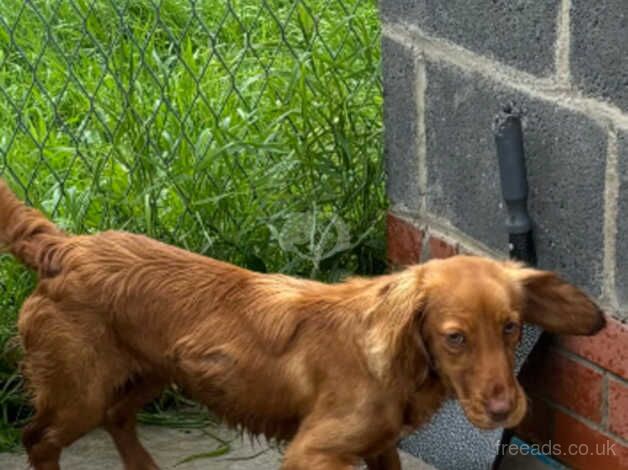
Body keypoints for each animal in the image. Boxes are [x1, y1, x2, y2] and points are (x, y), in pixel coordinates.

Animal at [0, 182, 604, 470]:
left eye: (511, 328)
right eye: (454, 338)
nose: (506, 411)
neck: (394, 364)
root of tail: (64, 248)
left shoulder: (381, 448)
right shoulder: (312, 452)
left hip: (149, 370)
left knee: (118, 416)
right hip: (77, 391)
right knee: (39, 440)